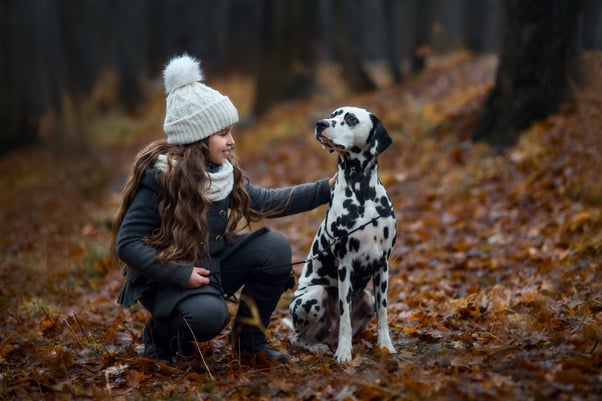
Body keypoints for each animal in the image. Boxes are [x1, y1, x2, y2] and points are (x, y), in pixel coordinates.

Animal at [290, 104, 396, 360]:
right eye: (333, 115)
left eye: (350, 118)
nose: (320, 124)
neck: (362, 193)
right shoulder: (345, 265)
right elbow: (345, 315)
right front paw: (344, 353)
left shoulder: (383, 265)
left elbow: (384, 314)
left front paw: (386, 346)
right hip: (313, 295)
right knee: (298, 338)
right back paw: (317, 346)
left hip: (367, 298)